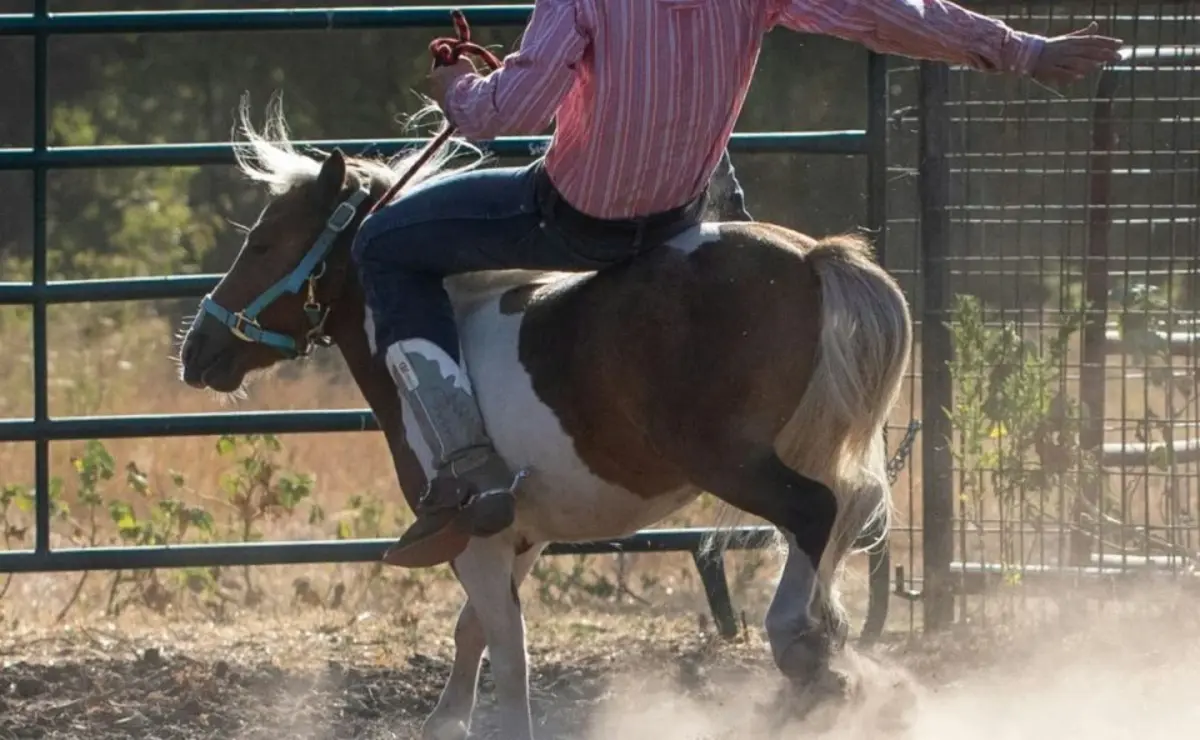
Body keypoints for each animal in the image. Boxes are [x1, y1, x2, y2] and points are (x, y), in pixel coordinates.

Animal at [177, 97, 913, 740]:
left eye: (264, 243)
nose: (197, 350)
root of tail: (811, 257)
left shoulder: (473, 537)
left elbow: (509, 651)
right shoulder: (522, 535)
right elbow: (473, 631)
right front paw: (446, 719)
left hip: (733, 461)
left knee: (815, 512)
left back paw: (801, 646)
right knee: (846, 517)